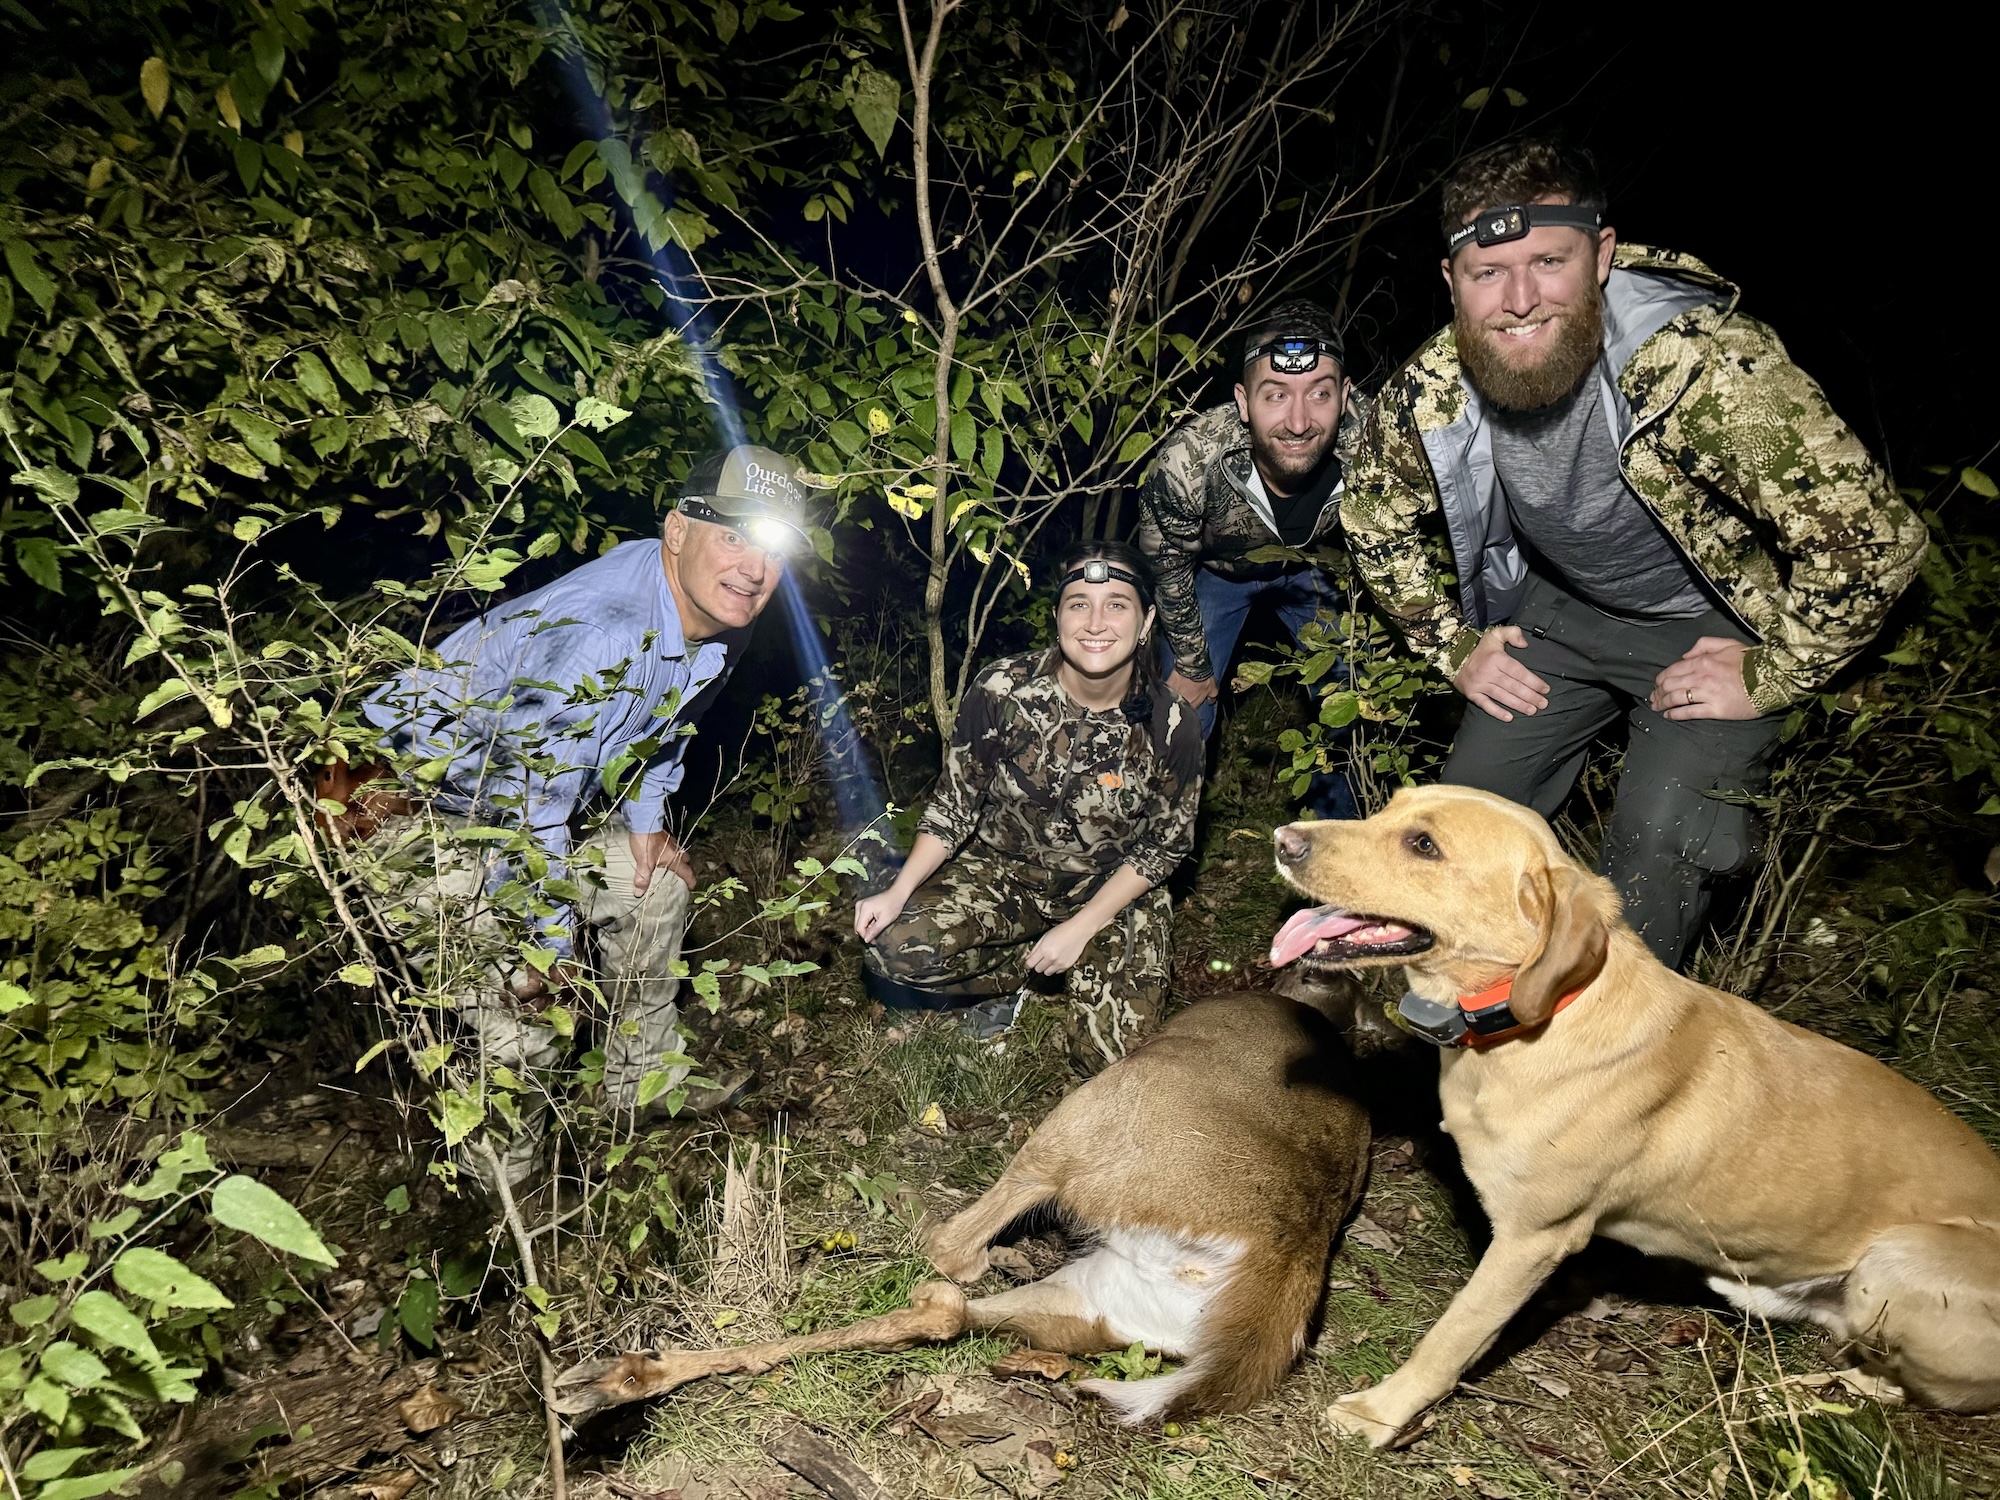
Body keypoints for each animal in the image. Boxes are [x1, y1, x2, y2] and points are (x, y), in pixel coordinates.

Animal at [1264, 792, 2000, 1448]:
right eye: (1388, 807)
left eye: (1424, 844)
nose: (1283, 837)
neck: (1543, 1015)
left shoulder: (1532, 1241)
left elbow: (1450, 1338)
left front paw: (1382, 1414)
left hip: (1897, 1259)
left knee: (1891, 1387)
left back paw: (1779, 1401)